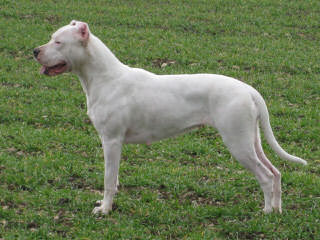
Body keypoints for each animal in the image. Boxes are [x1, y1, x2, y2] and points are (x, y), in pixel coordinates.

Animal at [33, 20, 306, 215]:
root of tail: (249, 90)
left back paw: (267, 211)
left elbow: (109, 179)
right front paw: (106, 204)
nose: (35, 50)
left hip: (238, 142)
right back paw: (277, 209)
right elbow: (115, 178)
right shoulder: (113, 143)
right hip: (251, 140)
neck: (104, 77)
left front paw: (105, 210)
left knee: (266, 176)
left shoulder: (111, 141)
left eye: (58, 42)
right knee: (276, 172)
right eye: (52, 39)